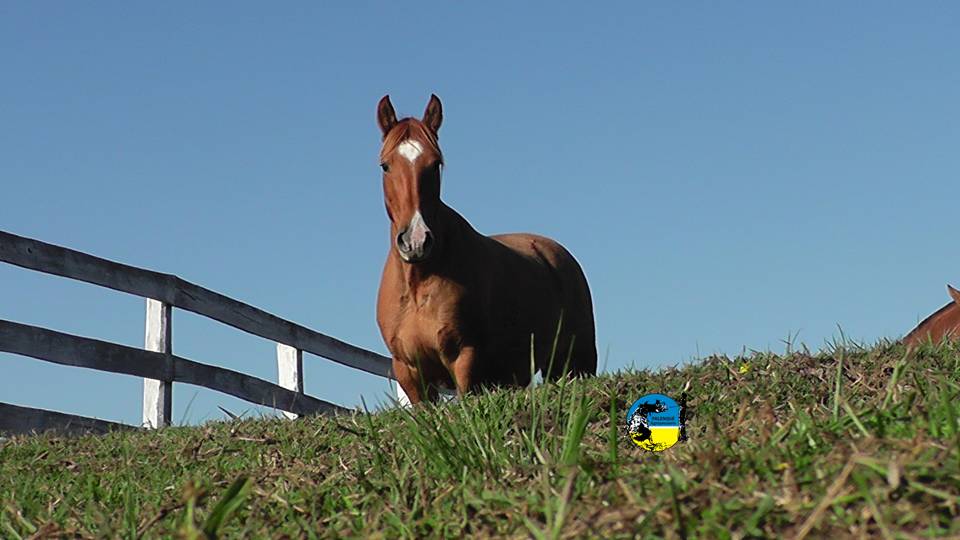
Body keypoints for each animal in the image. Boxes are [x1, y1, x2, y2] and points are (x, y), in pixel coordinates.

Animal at [374, 94, 597, 404]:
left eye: (435, 164)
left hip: (575, 361)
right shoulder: (409, 371)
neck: (419, 286)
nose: (416, 241)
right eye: (385, 165)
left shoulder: (465, 357)